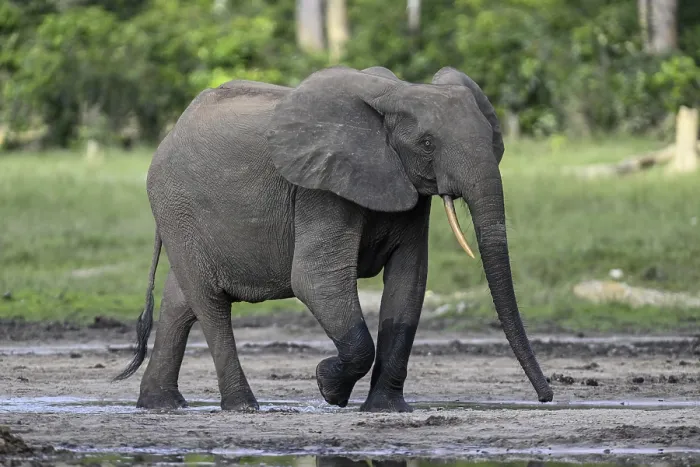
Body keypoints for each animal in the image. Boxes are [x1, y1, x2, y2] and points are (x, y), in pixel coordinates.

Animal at [114, 65, 554, 412]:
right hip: (176, 205)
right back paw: (242, 406)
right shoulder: (319, 188)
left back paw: (161, 404)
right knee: (210, 303)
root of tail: (172, 132)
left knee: (180, 300)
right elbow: (315, 279)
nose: (546, 396)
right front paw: (328, 386)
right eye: (428, 143)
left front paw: (386, 410)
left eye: (490, 138)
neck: (396, 96)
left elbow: (409, 283)